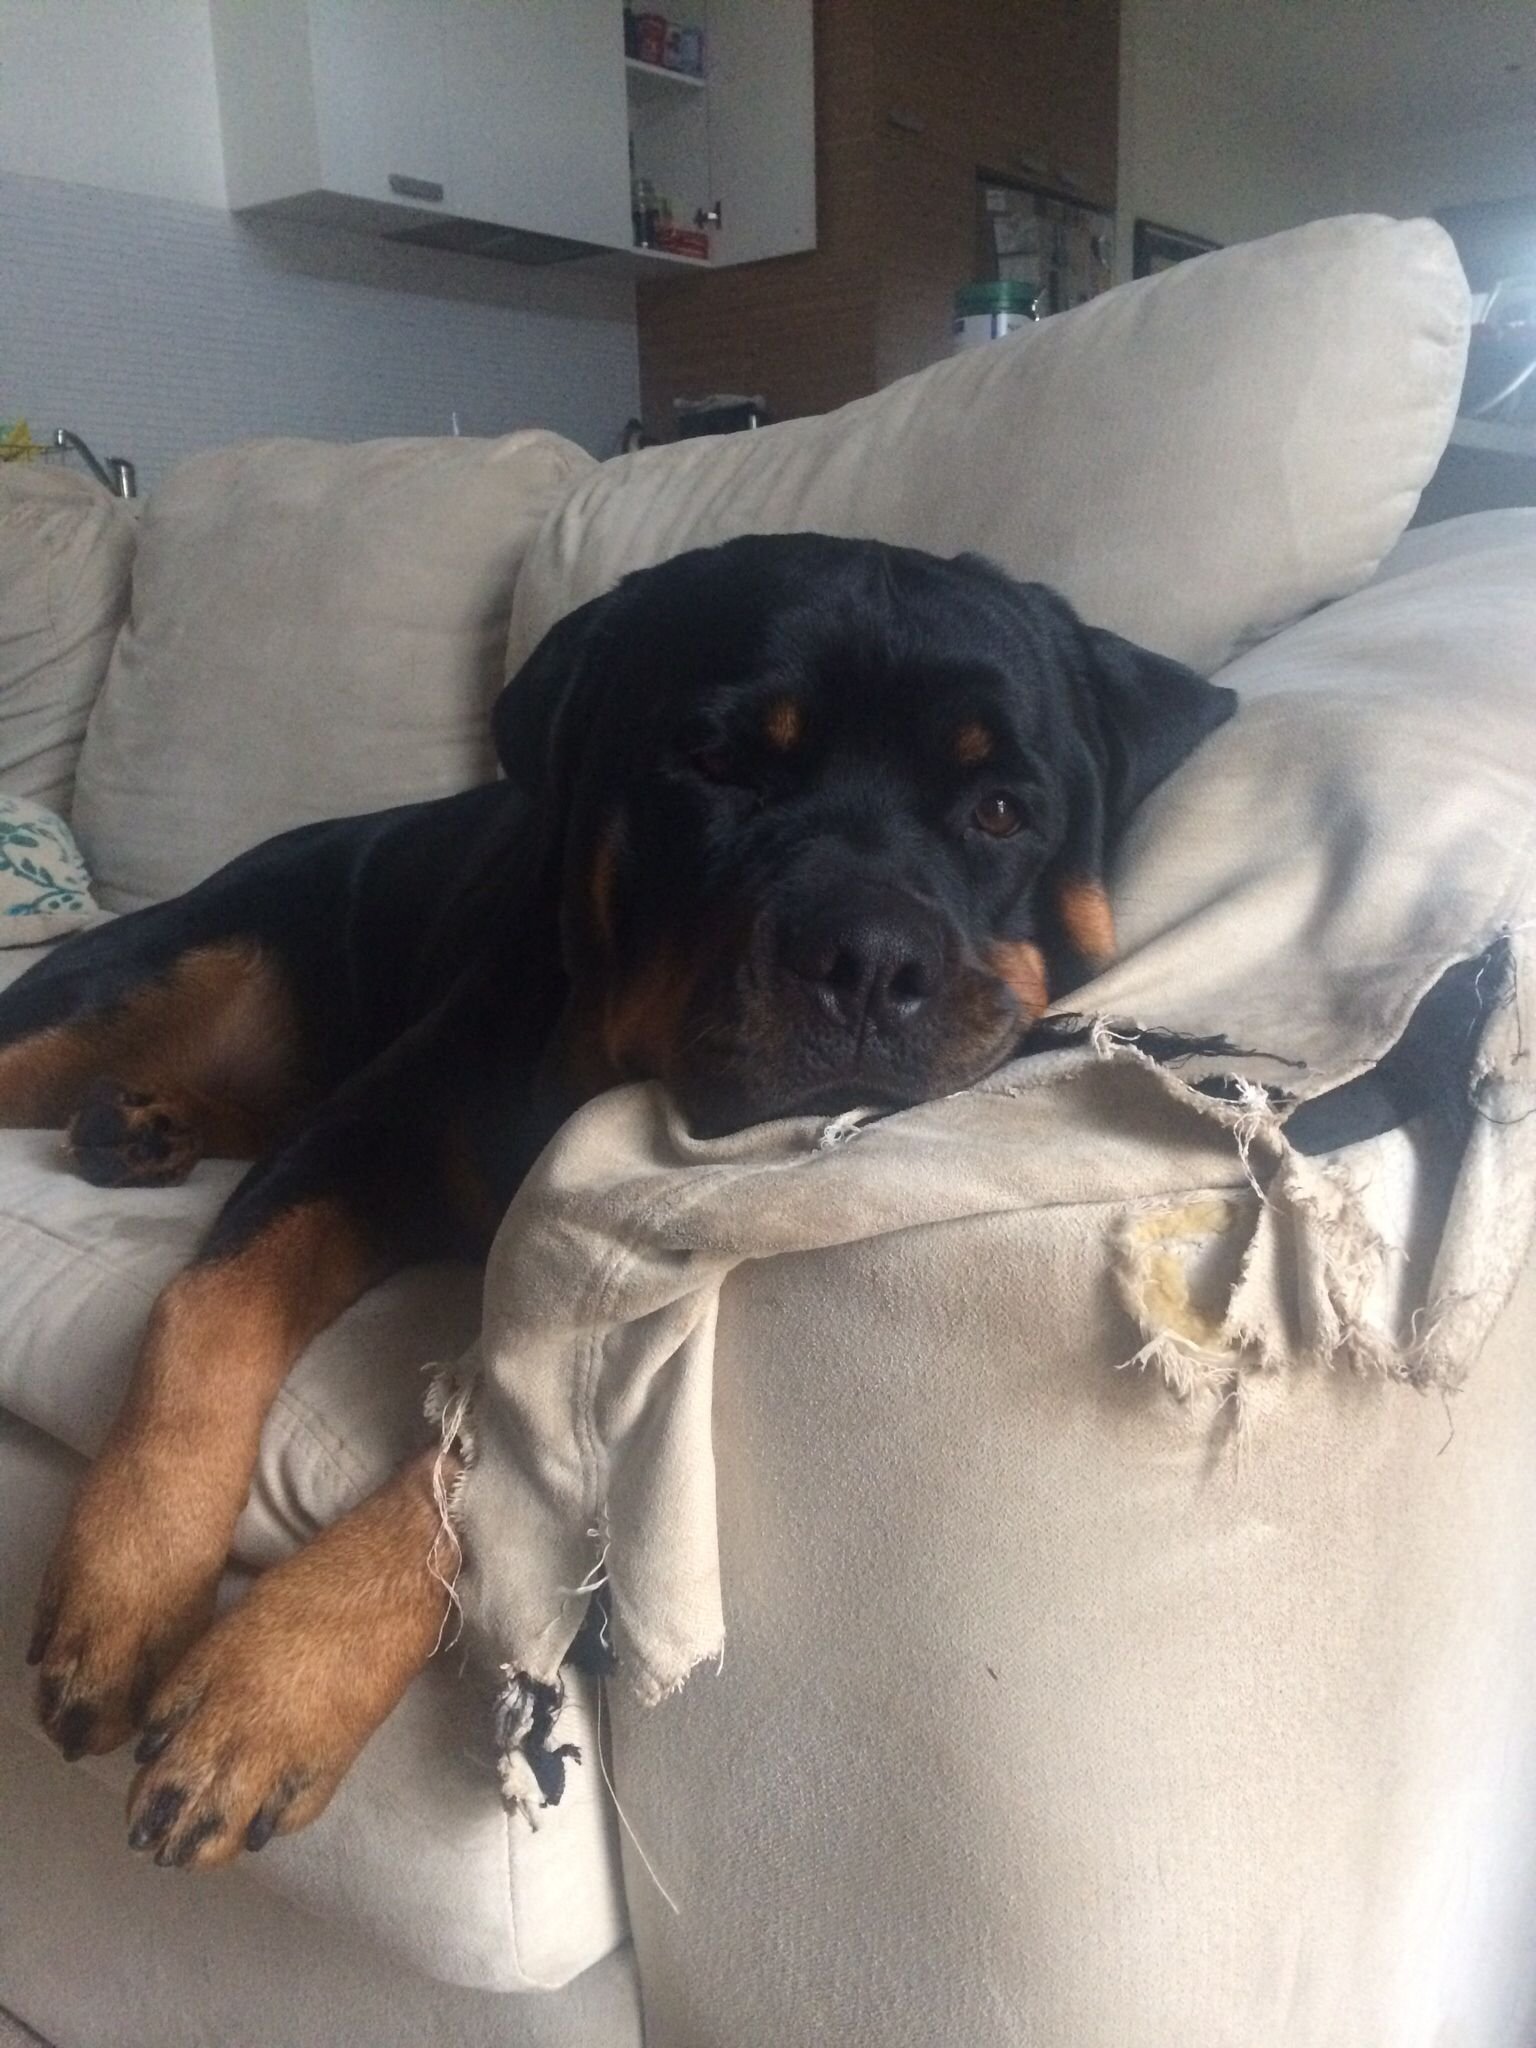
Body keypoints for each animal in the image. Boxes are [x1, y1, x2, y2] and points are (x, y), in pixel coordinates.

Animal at [0, 532, 1236, 1875]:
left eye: (1000, 808)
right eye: (713, 764)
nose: (870, 961)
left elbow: (499, 1464)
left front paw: (272, 1679)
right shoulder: (367, 1133)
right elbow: (209, 1307)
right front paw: (121, 1594)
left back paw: (145, 1120)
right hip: (135, 983)